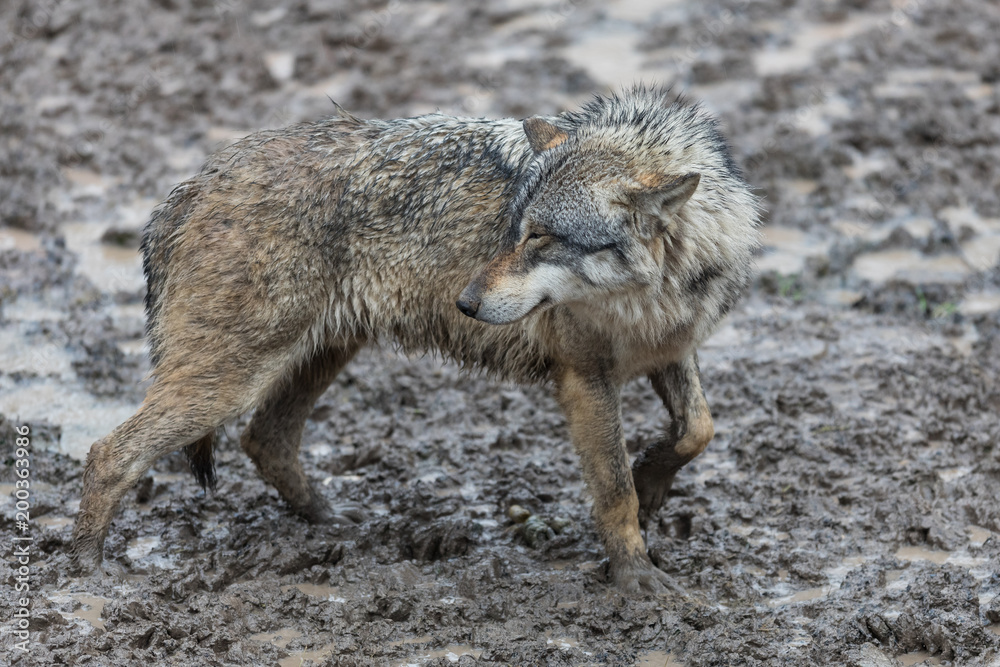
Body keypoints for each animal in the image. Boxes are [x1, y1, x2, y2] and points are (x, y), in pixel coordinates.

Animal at [71, 85, 761, 594]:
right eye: (514, 229)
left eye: (540, 237)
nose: (466, 303)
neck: (658, 289)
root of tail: (191, 184)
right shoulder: (584, 379)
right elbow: (613, 491)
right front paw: (637, 579)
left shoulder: (672, 351)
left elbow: (697, 431)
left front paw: (653, 486)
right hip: (229, 382)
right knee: (109, 454)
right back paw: (84, 576)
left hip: (318, 356)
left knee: (265, 439)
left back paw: (332, 523)